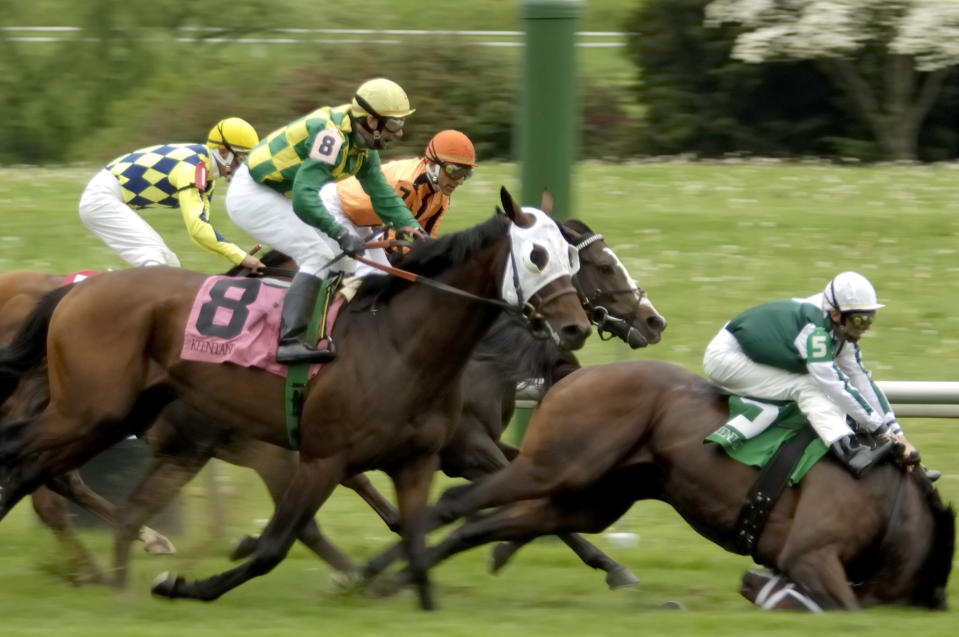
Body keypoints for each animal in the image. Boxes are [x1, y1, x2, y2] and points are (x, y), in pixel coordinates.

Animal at [0, 190, 592, 612]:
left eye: (570, 257)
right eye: (536, 255)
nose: (577, 328)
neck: (399, 342)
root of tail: (74, 289)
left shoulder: (416, 461)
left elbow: (419, 547)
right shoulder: (320, 457)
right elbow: (273, 546)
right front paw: (183, 586)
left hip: (118, 415)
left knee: (41, 471)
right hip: (89, 411)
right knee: (23, 456)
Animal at [418, 360, 952, 608]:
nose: (750, 579)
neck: (892, 508)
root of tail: (575, 375)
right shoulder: (810, 553)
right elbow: (845, 607)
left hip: (593, 499)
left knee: (488, 524)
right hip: (554, 465)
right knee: (458, 500)